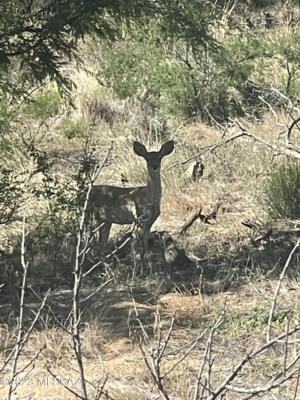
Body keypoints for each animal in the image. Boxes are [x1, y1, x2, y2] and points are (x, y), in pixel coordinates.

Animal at [88, 139, 175, 274]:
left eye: (160, 158)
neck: (149, 199)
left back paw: (105, 267)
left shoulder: (149, 222)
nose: (154, 166)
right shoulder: (138, 219)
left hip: (107, 221)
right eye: (147, 158)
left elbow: (145, 246)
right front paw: (139, 270)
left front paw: (146, 269)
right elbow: (138, 248)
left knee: (102, 243)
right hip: (94, 217)